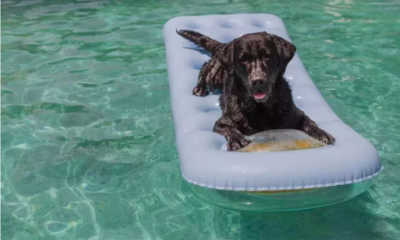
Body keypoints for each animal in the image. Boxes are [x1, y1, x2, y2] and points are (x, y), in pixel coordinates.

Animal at [178, 29, 334, 150]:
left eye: (267, 56)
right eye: (243, 60)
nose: (257, 81)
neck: (261, 108)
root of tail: (223, 45)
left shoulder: (296, 114)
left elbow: (309, 121)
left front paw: (321, 132)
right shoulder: (222, 122)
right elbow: (229, 128)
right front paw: (237, 139)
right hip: (215, 74)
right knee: (204, 69)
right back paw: (199, 88)